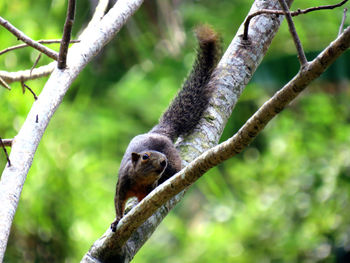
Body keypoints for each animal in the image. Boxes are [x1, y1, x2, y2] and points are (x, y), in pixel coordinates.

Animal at [111, 24, 221, 232]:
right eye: (145, 157)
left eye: (162, 156)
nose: (163, 162)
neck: (140, 182)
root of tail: (159, 132)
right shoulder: (122, 184)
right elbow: (118, 204)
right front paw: (117, 220)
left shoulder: (149, 188)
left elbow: (143, 201)